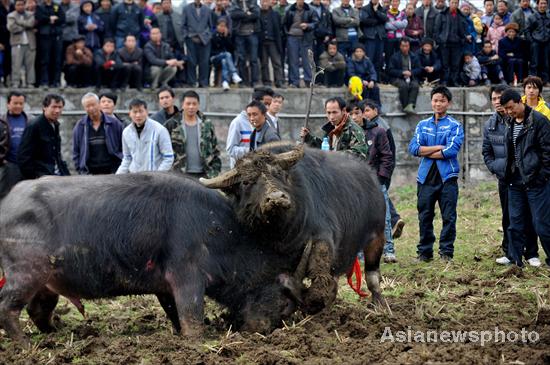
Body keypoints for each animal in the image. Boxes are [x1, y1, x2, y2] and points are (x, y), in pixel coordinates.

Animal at [0, 172, 306, 342]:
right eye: (282, 302)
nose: (260, 331)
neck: (219, 233)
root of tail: (7, 204)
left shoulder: (164, 286)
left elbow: (174, 314)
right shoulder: (186, 276)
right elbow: (191, 314)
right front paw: (196, 340)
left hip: (47, 282)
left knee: (37, 310)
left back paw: (54, 335)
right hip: (26, 271)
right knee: (7, 308)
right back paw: (27, 345)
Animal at [199, 142, 388, 312]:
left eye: (278, 173)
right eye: (246, 182)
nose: (276, 198)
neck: (282, 231)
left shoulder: (322, 234)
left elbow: (319, 260)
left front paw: (315, 298)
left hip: (377, 236)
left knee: (372, 275)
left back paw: (378, 304)